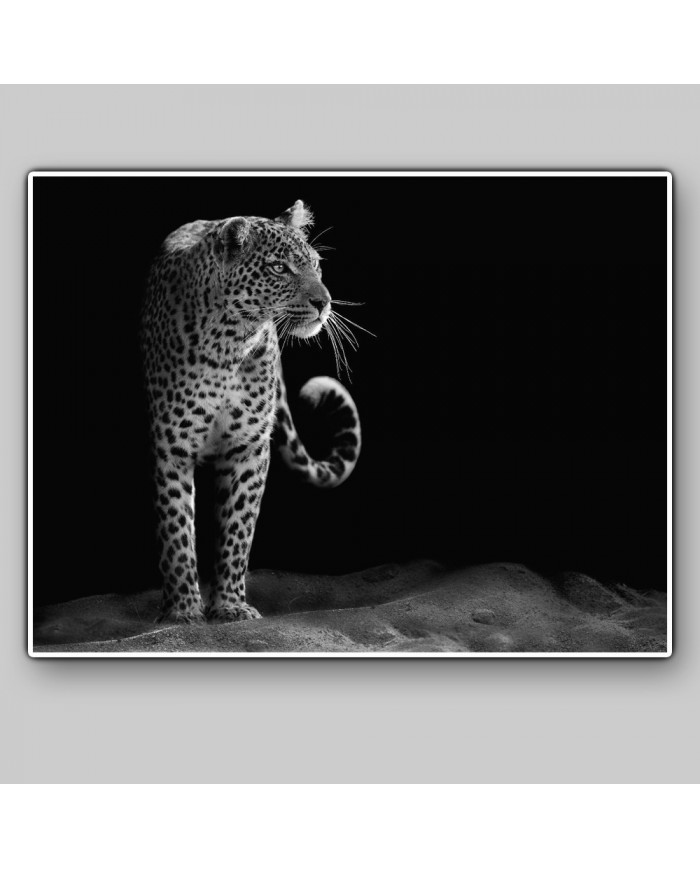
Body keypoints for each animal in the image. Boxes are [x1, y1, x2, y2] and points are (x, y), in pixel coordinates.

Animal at [140, 200, 361, 623]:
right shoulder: (172, 446)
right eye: (279, 268)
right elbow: (176, 528)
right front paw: (182, 610)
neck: (229, 341)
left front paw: (230, 605)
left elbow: (238, 528)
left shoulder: (248, 447)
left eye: (315, 265)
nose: (323, 302)